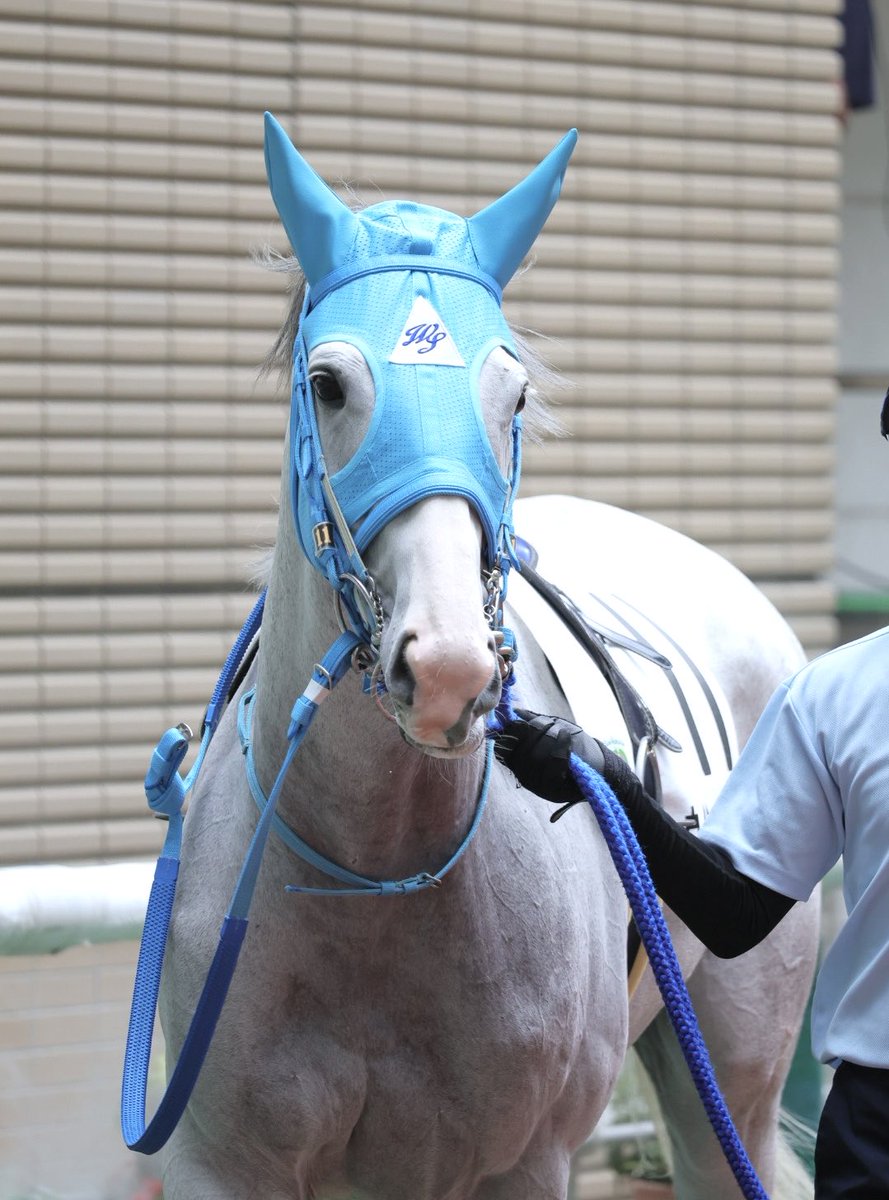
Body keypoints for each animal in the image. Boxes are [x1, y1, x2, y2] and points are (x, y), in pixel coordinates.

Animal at [155, 114, 820, 1199]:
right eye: (327, 384)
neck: (368, 879)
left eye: (513, 392)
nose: (450, 671)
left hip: (734, 1063)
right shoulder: (223, 1160)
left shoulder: (522, 1162)